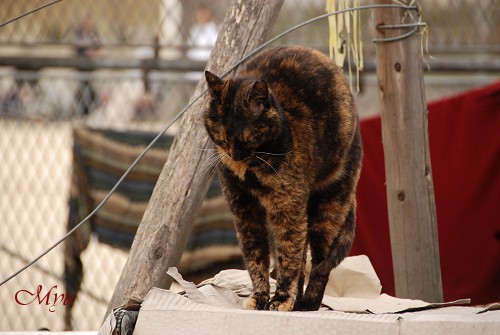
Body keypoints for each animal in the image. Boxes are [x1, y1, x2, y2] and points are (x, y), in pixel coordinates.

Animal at [203, 45, 364, 312]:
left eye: (246, 139)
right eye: (223, 138)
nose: (234, 156)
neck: (252, 169)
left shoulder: (287, 208)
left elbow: (288, 256)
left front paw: (280, 299)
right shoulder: (243, 210)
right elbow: (255, 256)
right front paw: (260, 297)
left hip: (329, 206)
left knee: (319, 263)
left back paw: (307, 303)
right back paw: (296, 300)